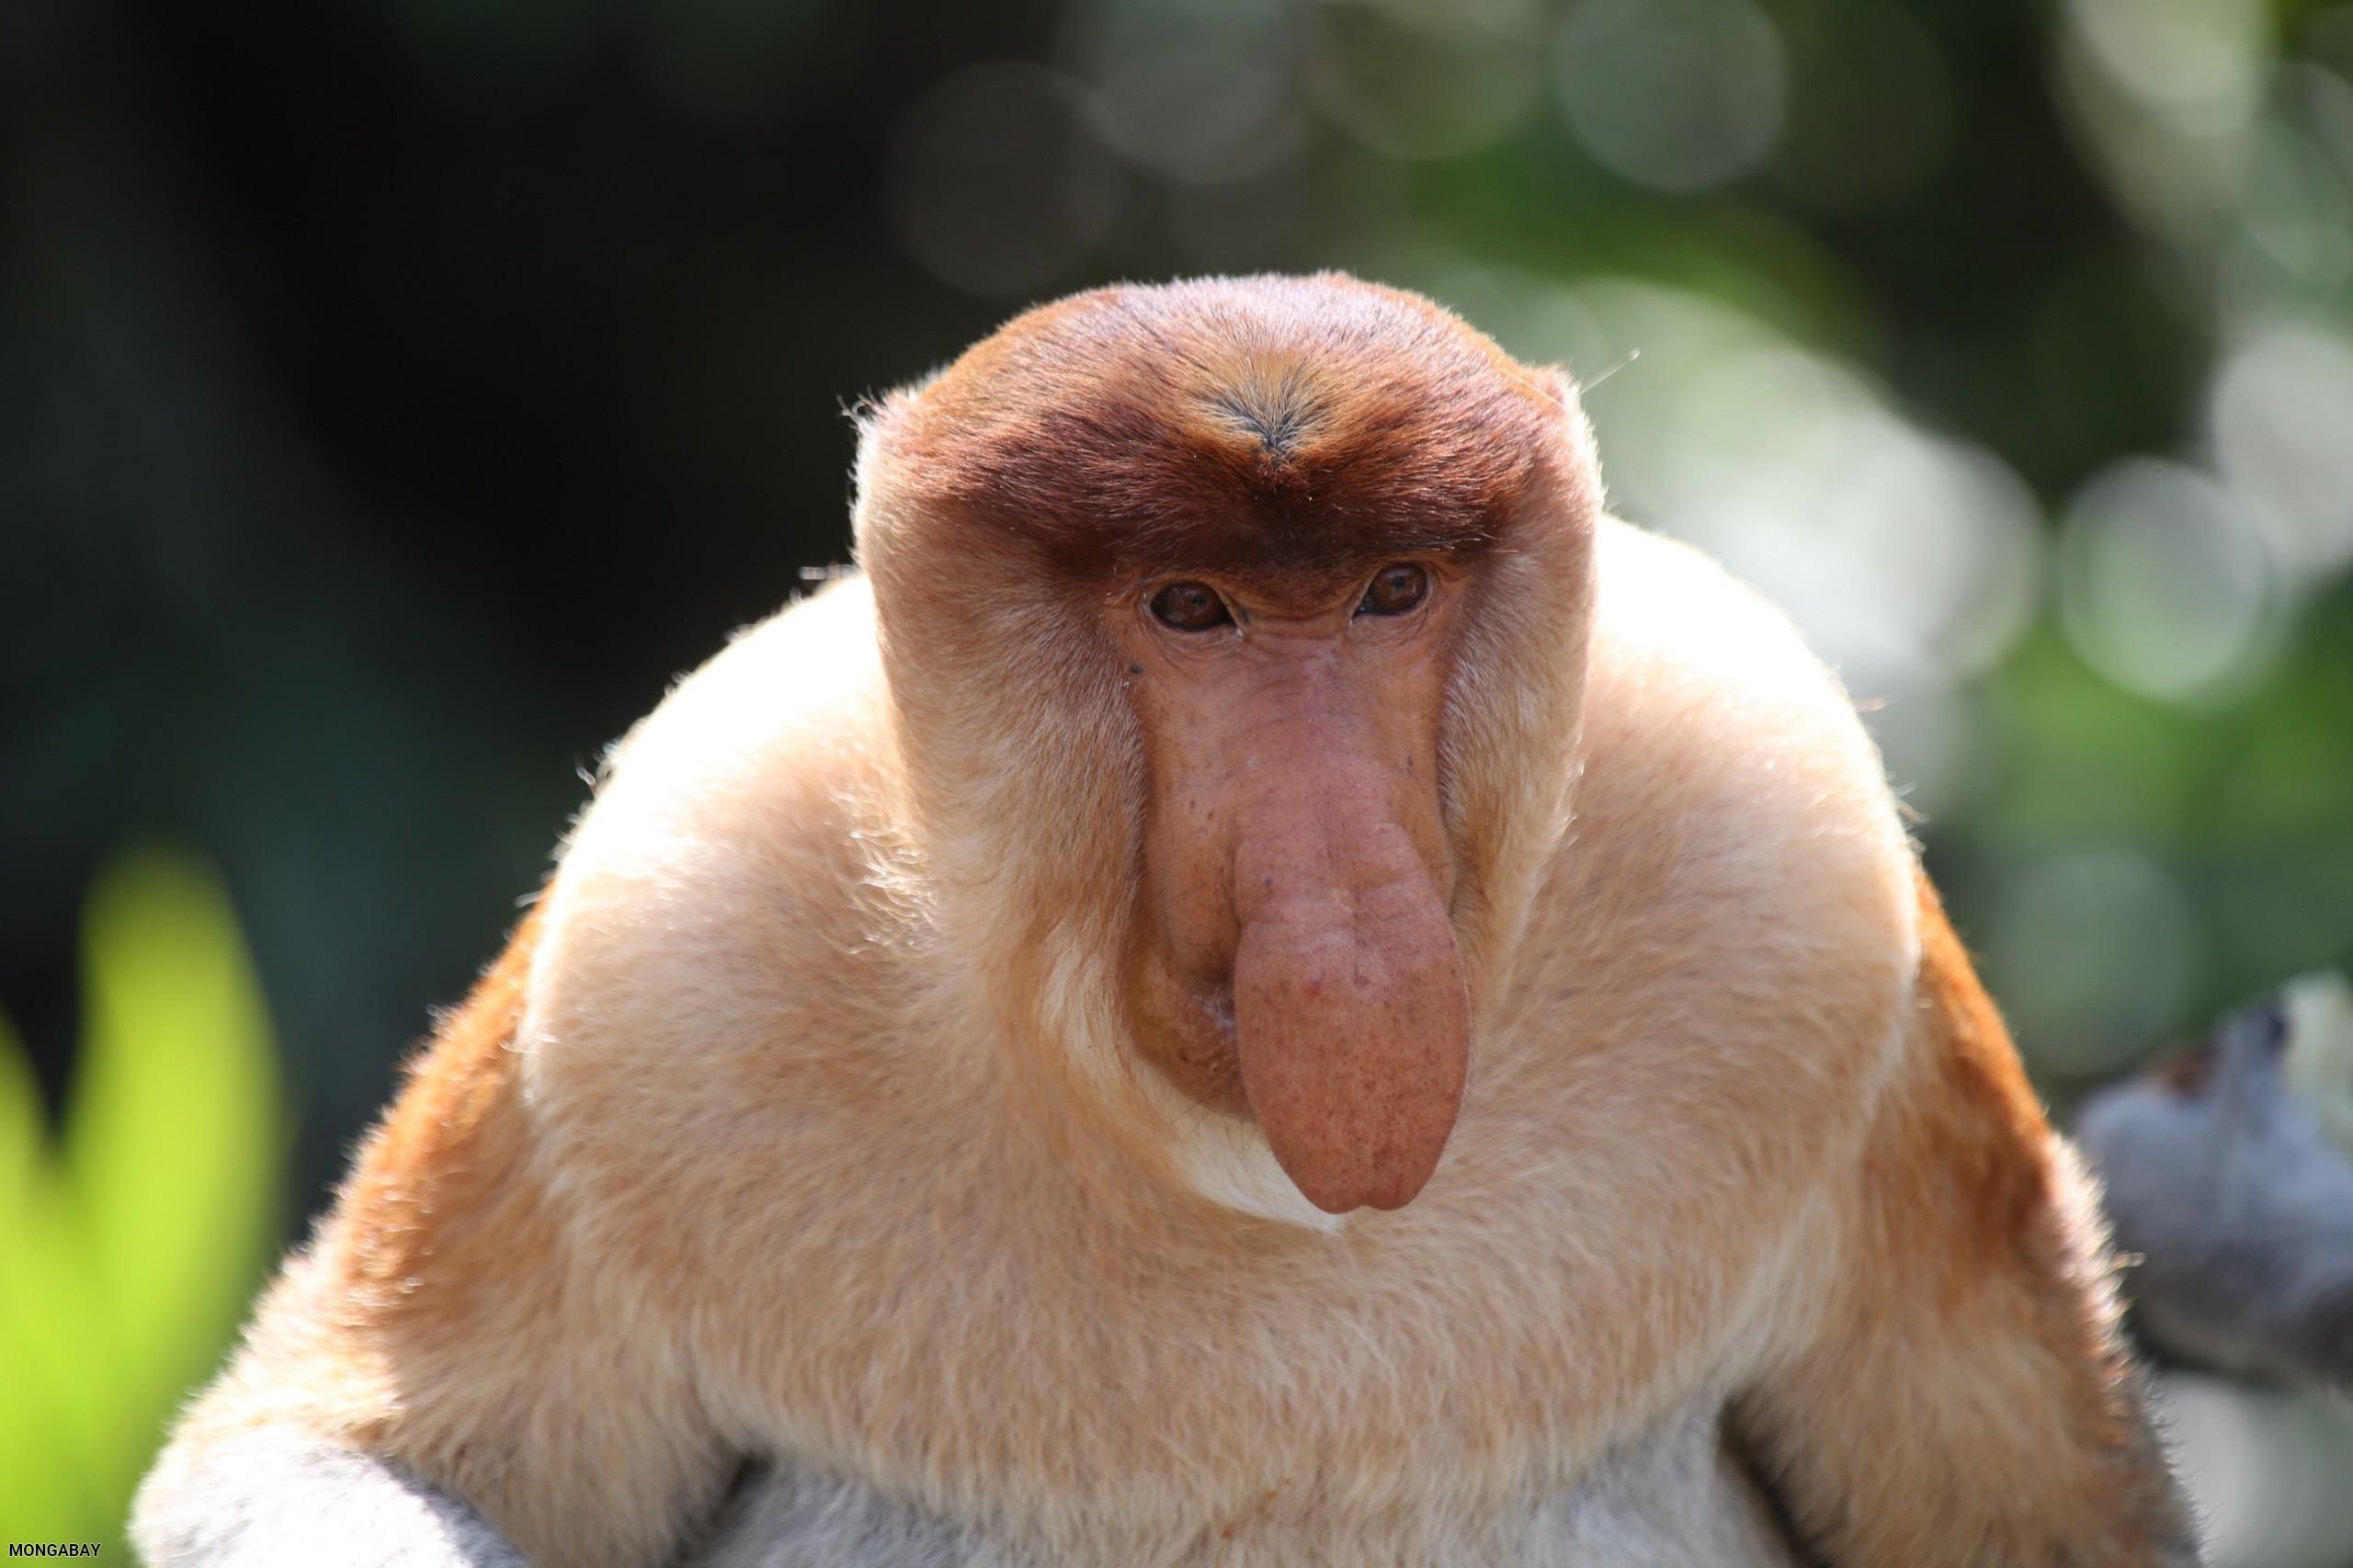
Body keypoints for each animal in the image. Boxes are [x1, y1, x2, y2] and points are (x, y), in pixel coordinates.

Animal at [134, 273, 2198, 1567]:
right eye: (1190, 610)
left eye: (1388, 592)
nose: (1344, 908)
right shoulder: (653, 954)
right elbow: (318, 1452)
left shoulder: (1796, 866)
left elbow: (2035, 1521)